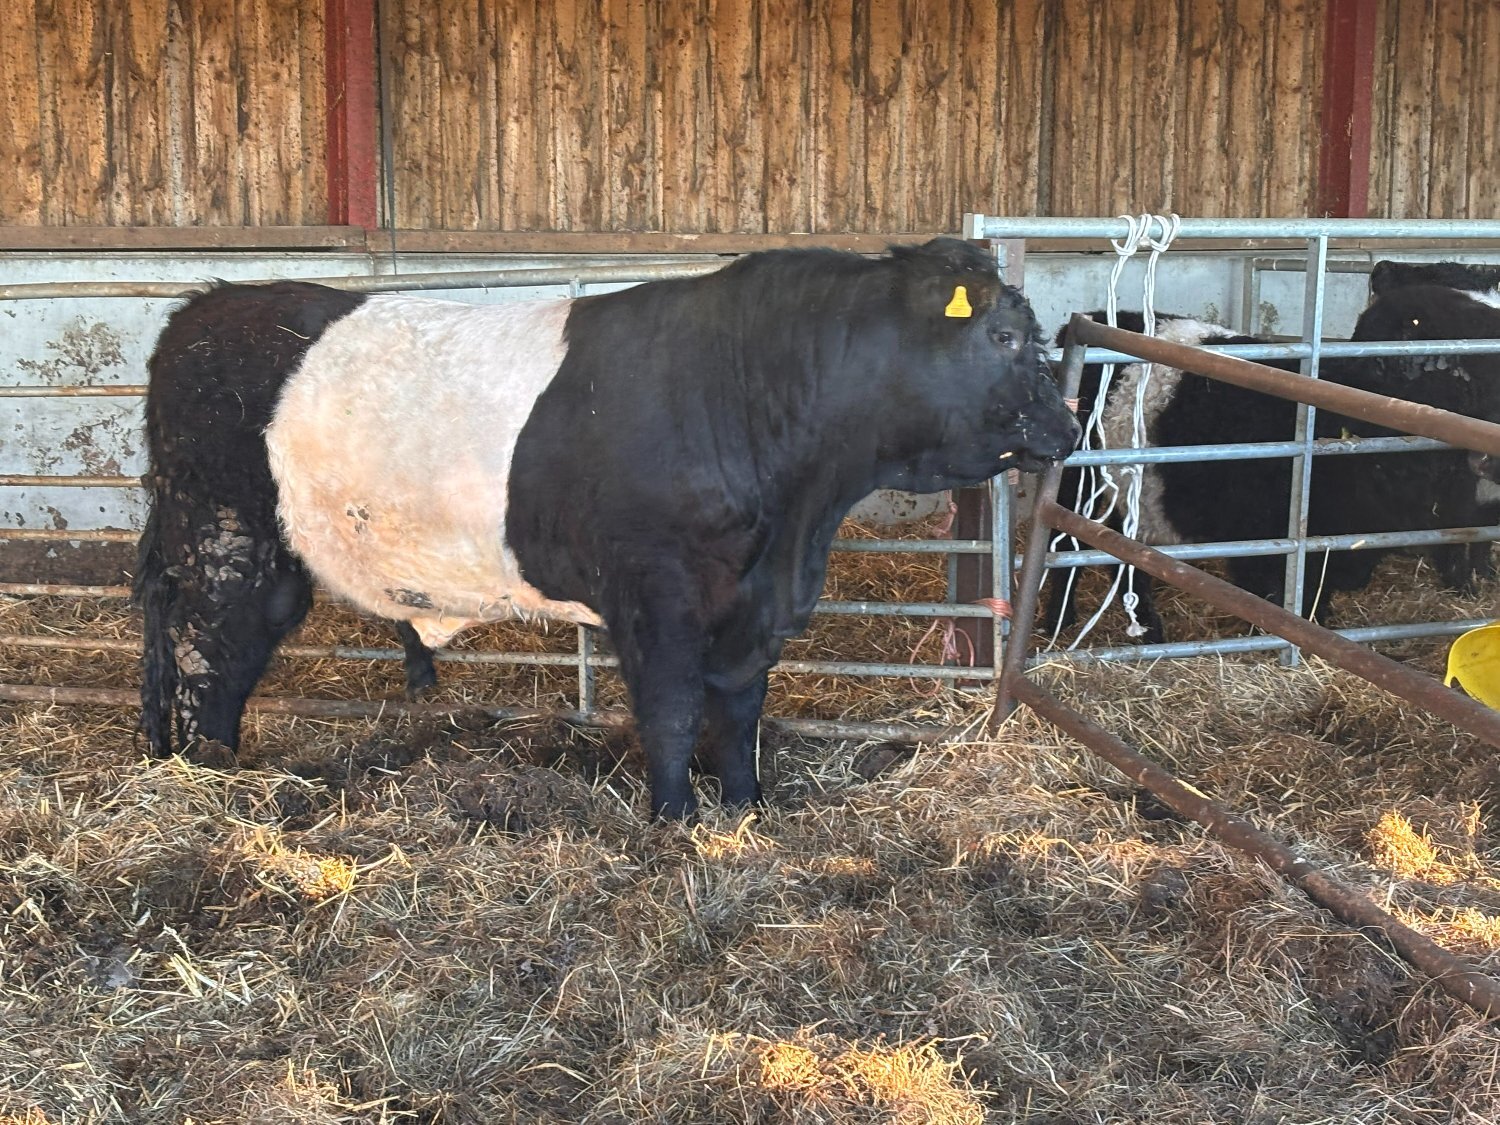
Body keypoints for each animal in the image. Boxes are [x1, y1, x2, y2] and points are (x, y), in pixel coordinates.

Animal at [134, 238, 1080, 818]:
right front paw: (674, 818)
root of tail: (197, 314)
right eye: (1004, 334)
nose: (1067, 426)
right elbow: (672, 707)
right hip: (227, 536)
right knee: (204, 650)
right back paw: (212, 776)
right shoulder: (657, 588)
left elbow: (740, 708)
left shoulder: (752, 604)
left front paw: (745, 806)